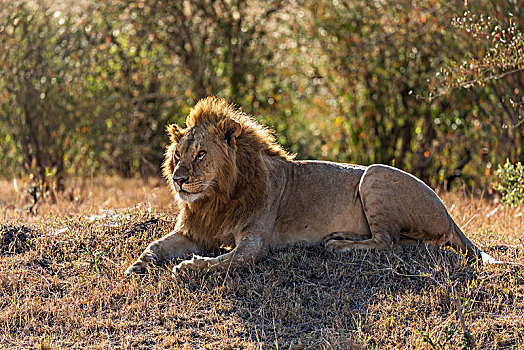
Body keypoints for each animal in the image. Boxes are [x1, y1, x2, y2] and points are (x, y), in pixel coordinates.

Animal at [125, 96, 494, 276]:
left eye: (201, 153)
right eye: (178, 154)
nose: (178, 179)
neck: (216, 199)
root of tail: (448, 214)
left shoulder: (254, 243)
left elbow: (225, 262)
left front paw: (189, 267)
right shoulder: (195, 232)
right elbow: (156, 245)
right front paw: (139, 265)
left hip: (374, 175)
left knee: (388, 243)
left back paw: (338, 246)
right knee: (407, 244)